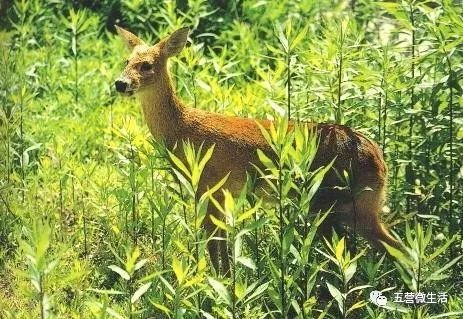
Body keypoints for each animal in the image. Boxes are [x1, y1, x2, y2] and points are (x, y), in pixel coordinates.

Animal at [114, 25, 400, 276]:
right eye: (127, 60)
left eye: (147, 64)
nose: (120, 83)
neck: (183, 131)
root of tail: (379, 159)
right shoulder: (221, 194)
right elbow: (221, 245)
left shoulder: (210, 185)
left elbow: (215, 244)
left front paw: (218, 286)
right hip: (354, 207)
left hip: (332, 204)